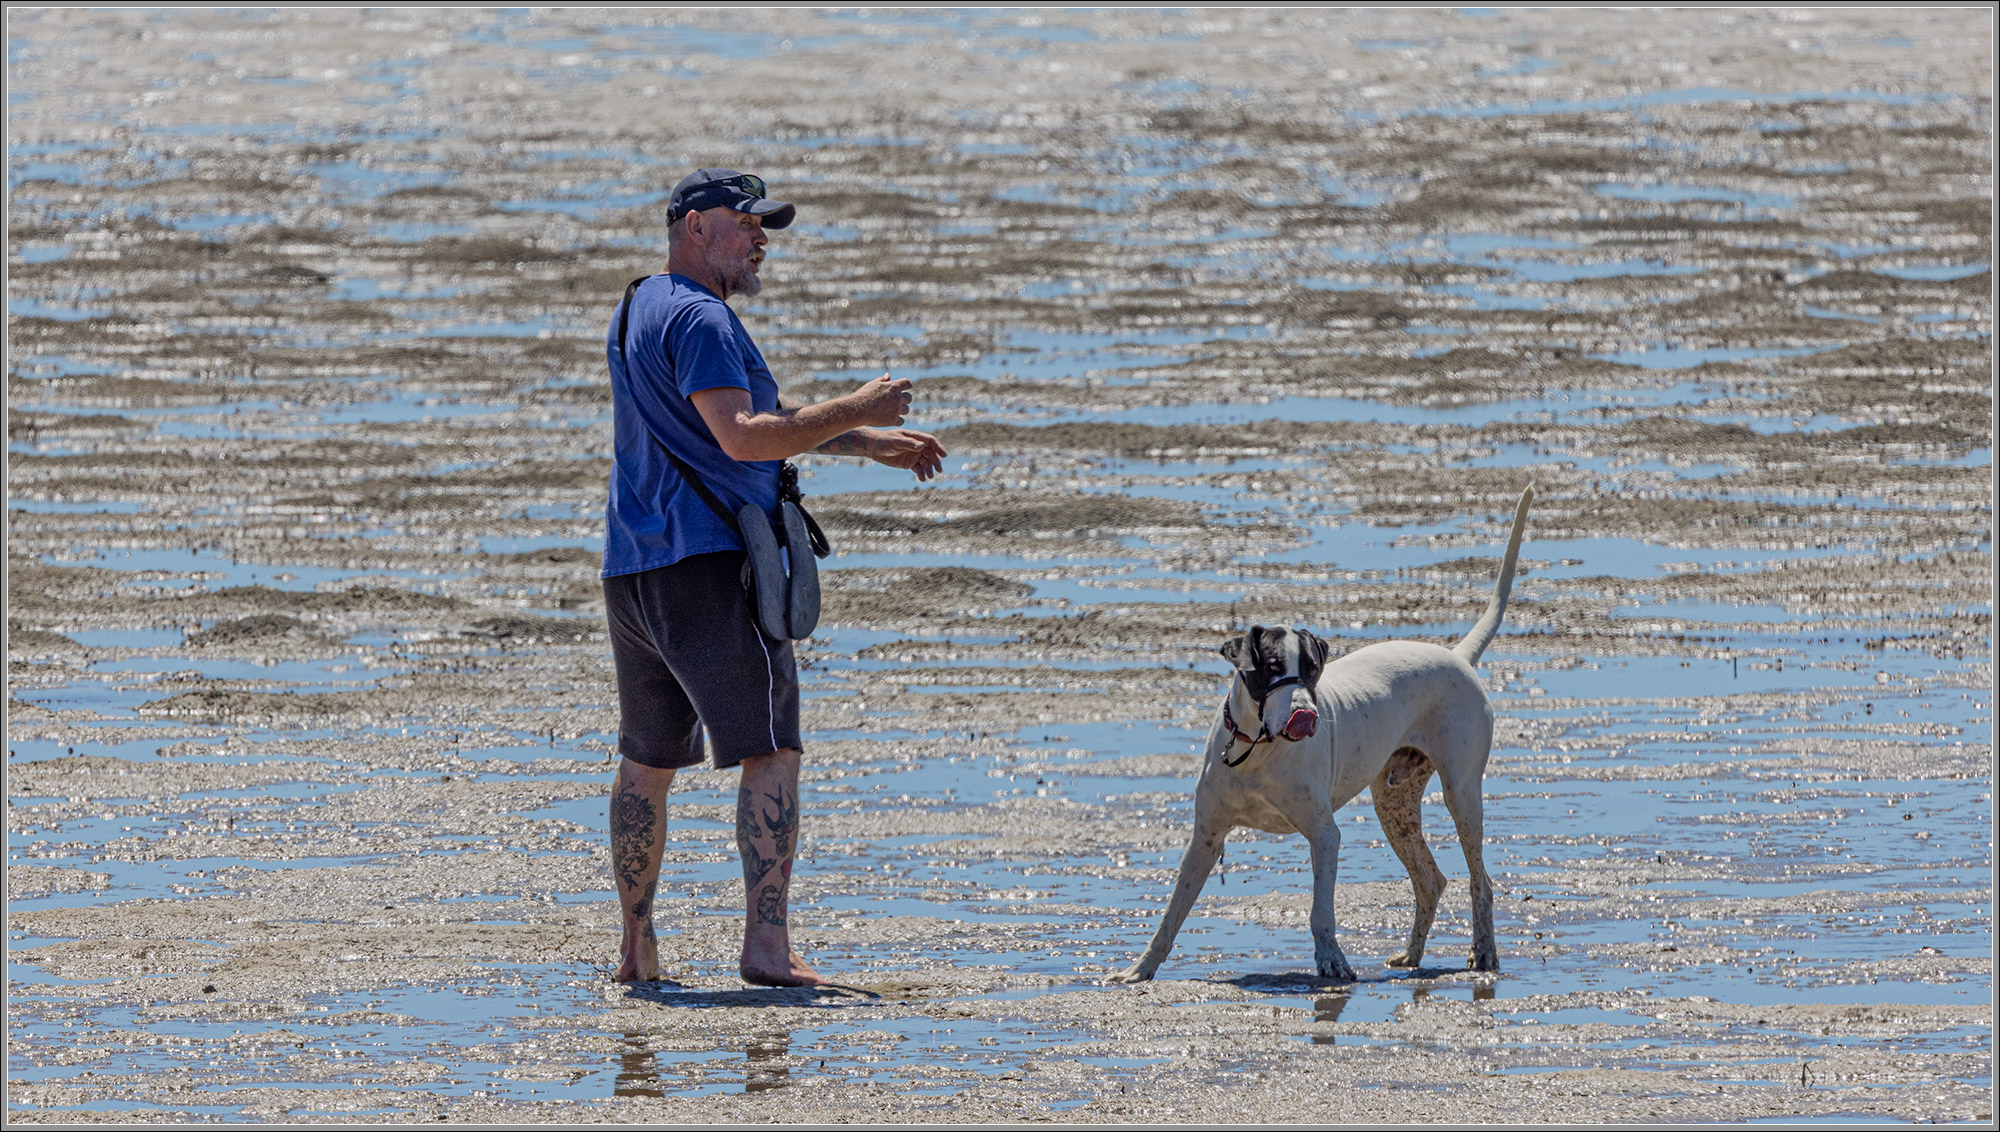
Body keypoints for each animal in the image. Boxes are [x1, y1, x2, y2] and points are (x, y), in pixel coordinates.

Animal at [1112, 488, 1528, 984]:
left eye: (1312, 669)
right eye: (1271, 667)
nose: (1307, 715)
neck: (1258, 753)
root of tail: (1458, 656)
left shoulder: (1324, 834)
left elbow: (1320, 913)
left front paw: (1332, 961)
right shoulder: (1205, 838)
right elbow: (1172, 912)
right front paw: (1139, 969)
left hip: (1461, 794)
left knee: (1480, 881)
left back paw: (1484, 953)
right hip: (1394, 804)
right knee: (1431, 879)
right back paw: (1411, 956)